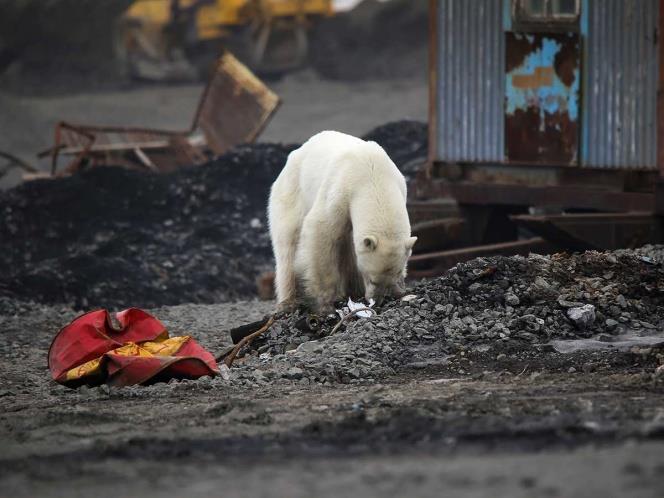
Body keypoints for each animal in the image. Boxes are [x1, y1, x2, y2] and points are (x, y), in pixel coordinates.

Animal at [268, 130, 416, 314]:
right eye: (372, 279)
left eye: (393, 276)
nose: (377, 301)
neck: (373, 174)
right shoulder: (341, 189)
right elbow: (320, 230)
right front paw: (325, 304)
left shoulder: (399, 185)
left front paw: (401, 289)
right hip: (292, 191)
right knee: (288, 243)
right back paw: (288, 301)